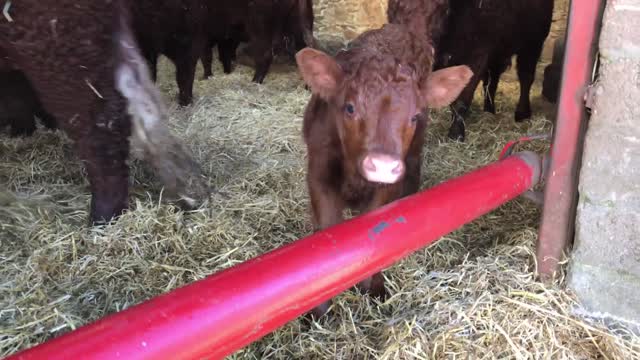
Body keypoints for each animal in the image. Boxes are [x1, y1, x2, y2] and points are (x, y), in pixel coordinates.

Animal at [296, 23, 470, 318]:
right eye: (350, 107)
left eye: (415, 116)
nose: (383, 165)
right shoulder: (318, 174)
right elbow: (324, 238)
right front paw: (319, 310)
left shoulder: (388, 187)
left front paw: (374, 288)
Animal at [436, 0, 556, 141]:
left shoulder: (477, 55)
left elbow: (462, 98)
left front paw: (456, 133)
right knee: (492, 81)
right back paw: (489, 109)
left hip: (532, 41)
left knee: (525, 77)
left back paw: (522, 112)